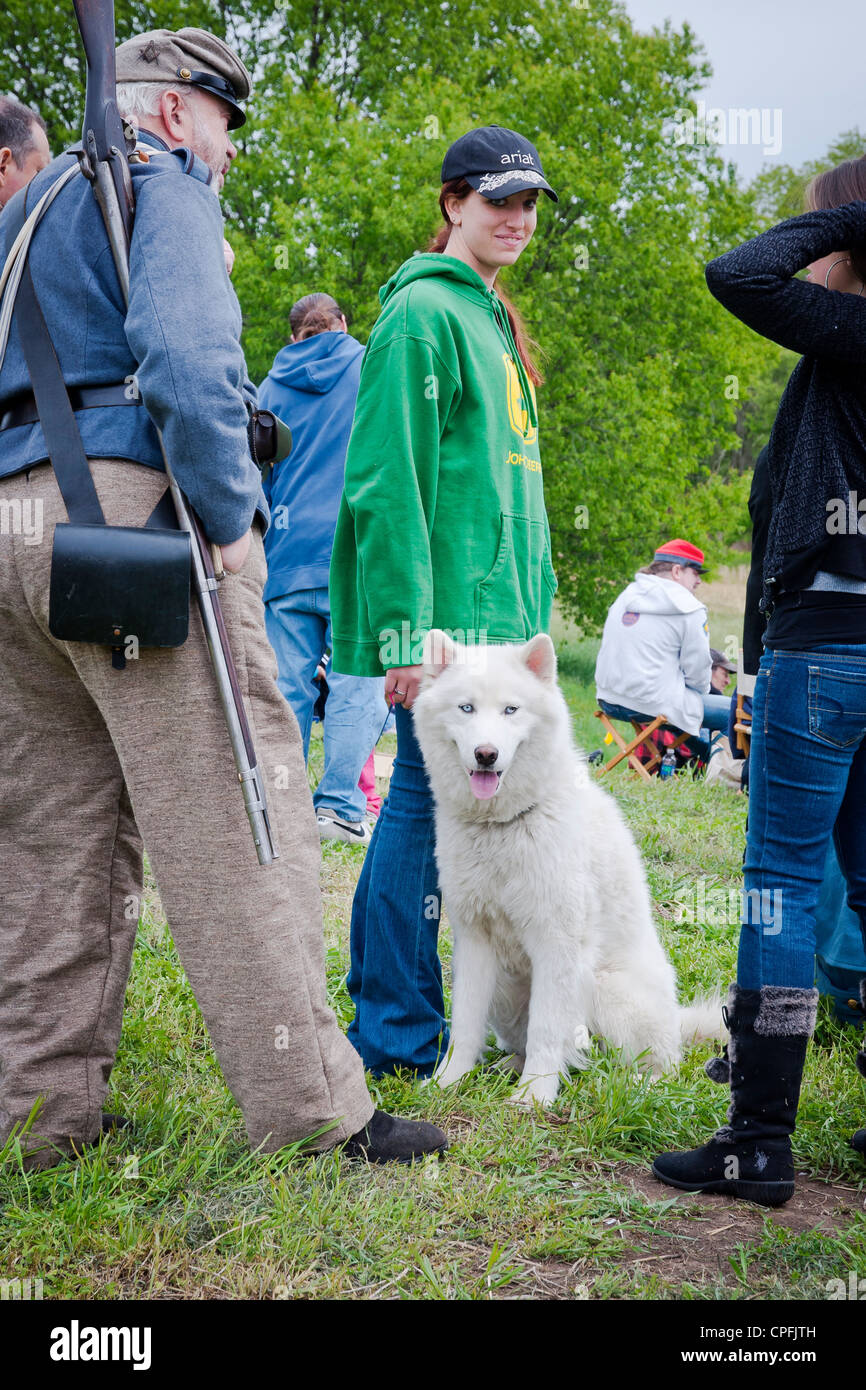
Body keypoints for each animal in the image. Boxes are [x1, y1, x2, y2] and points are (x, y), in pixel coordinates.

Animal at [408, 633, 722, 1106]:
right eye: (466, 708)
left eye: (511, 710)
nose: (486, 755)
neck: (504, 825)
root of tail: (675, 1021)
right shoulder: (475, 940)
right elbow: (464, 1025)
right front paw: (449, 1081)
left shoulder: (556, 943)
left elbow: (546, 1030)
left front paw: (534, 1097)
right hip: (506, 991)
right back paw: (510, 1066)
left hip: (605, 991)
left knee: (658, 1066)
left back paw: (631, 1085)